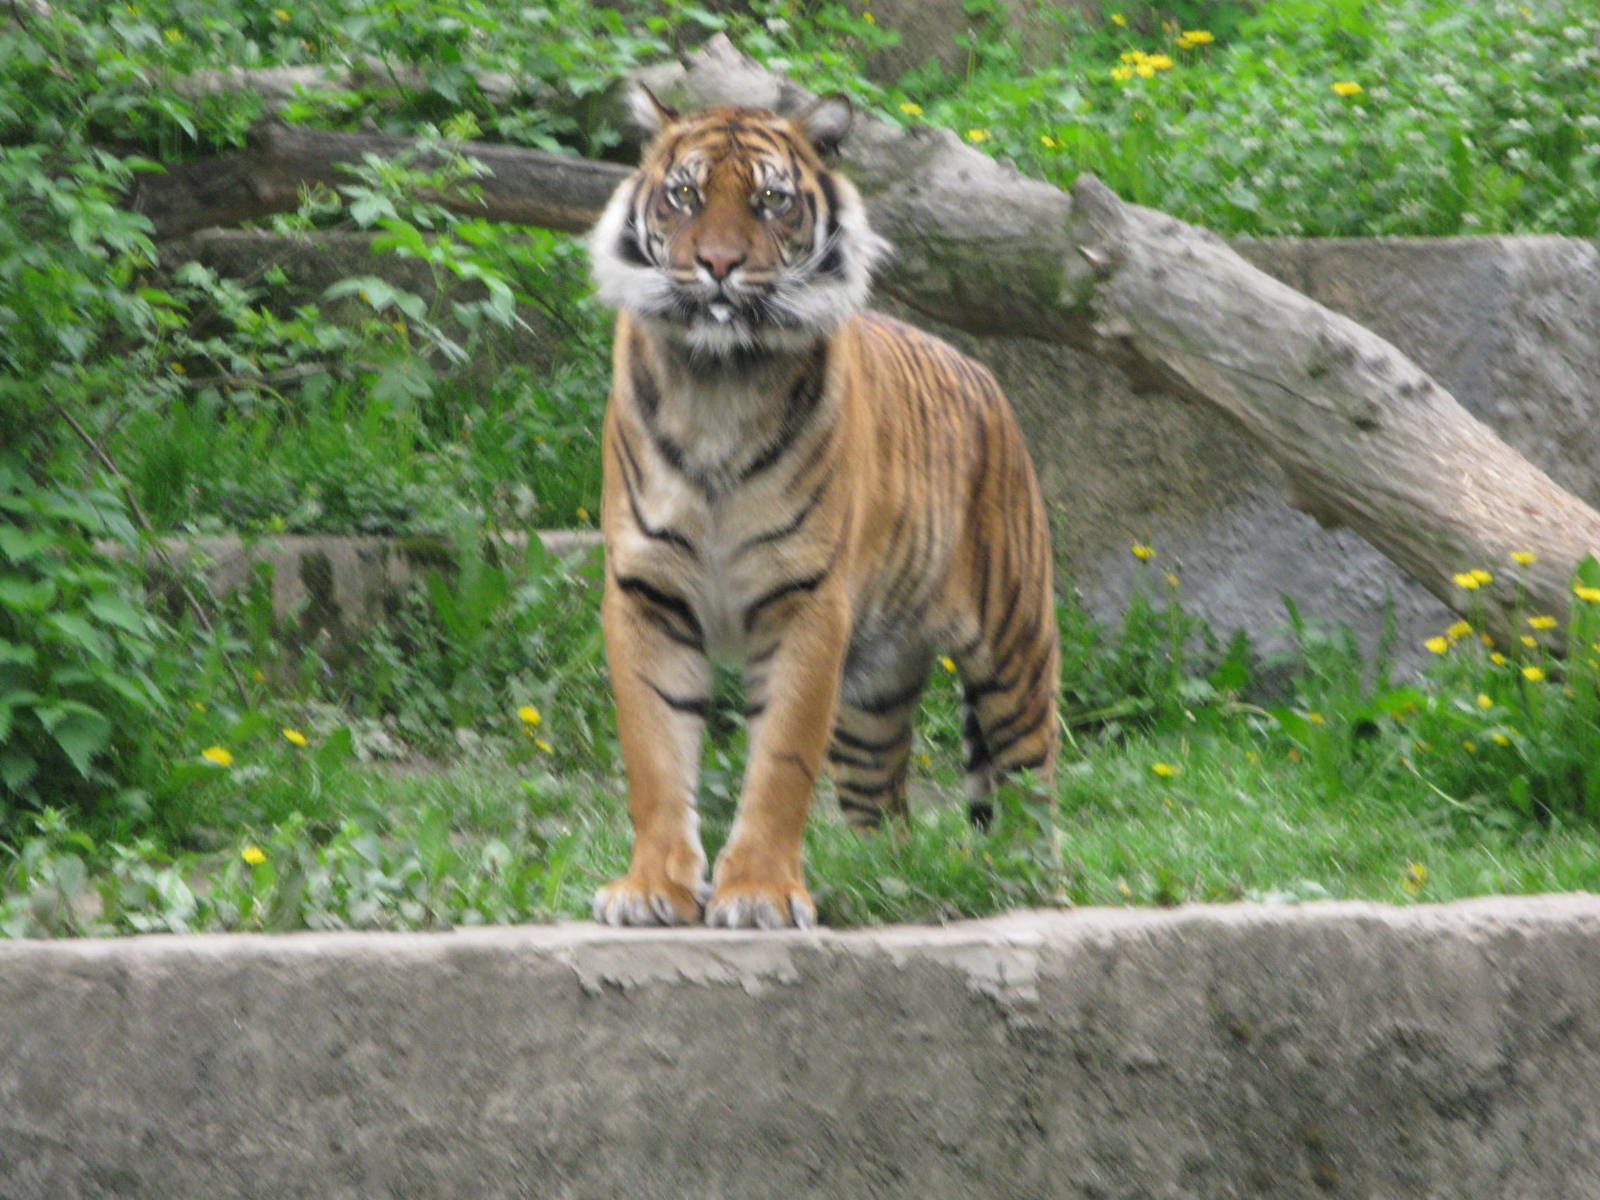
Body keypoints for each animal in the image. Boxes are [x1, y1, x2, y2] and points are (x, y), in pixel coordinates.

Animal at [586, 87, 1059, 929]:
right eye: (685, 196)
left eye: (771, 201)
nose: (717, 264)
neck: (718, 384)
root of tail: (981, 372)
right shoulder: (647, 593)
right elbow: (655, 755)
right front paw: (652, 889)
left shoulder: (806, 600)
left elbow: (780, 762)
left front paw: (760, 893)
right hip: (872, 698)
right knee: (885, 808)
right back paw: (881, 878)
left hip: (1015, 646)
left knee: (1031, 783)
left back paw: (1030, 883)